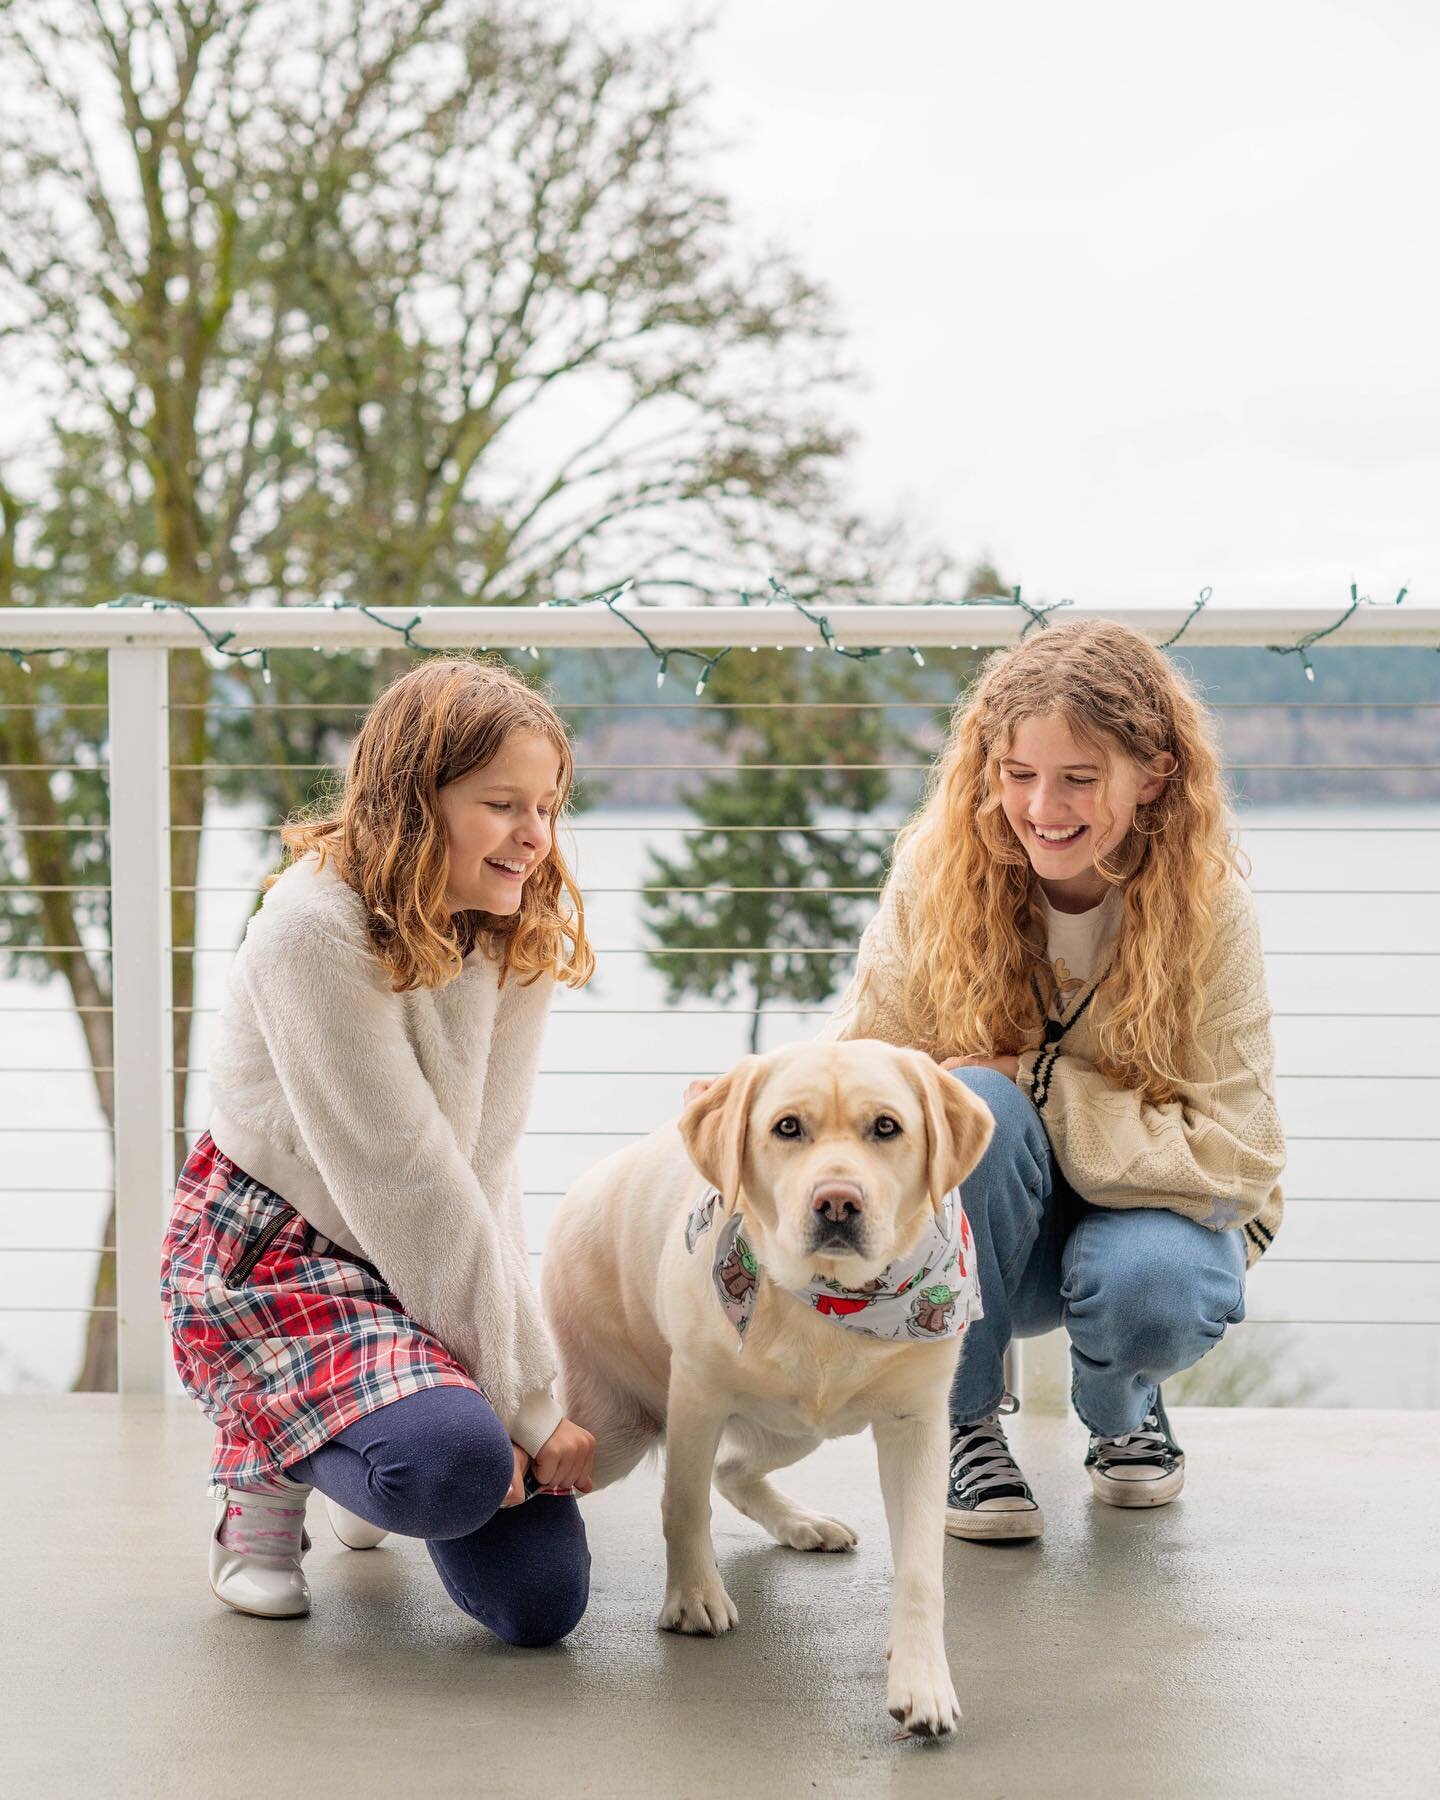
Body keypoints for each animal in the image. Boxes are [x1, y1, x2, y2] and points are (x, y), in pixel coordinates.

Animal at [540, 1051, 993, 1735]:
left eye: (887, 1127)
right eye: (787, 1128)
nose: (837, 1202)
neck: (835, 1302)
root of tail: (591, 1178)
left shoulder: (916, 1426)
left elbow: (920, 1570)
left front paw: (922, 1679)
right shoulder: (696, 1397)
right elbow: (683, 1505)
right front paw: (693, 1595)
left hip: (797, 1430)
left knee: (731, 1470)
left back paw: (802, 1522)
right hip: (608, 1433)